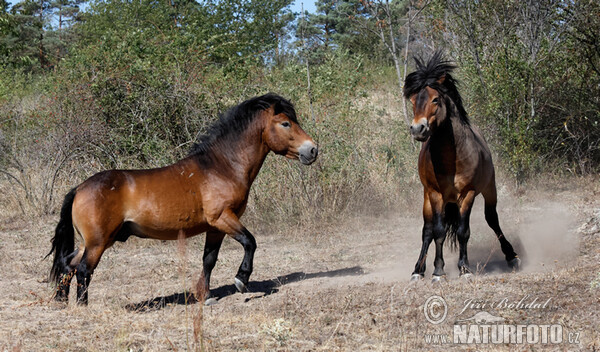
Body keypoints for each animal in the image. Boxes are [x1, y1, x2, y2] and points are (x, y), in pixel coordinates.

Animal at [47, 94, 318, 306]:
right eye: (285, 123)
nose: (313, 150)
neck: (221, 167)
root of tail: (80, 188)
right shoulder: (223, 218)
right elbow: (250, 242)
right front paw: (241, 280)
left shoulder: (215, 227)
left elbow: (209, 260)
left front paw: (206, 296)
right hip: (98, 242)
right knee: (84, 269)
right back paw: (83, 306)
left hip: (94, 241)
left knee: (68, 265)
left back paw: (61, 301)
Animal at [404, 51, 520, 284]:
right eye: (412, 100)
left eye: (435, 99)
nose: (418, 129)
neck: (451, 158)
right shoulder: (436, 194)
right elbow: (438, 232)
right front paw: (438, 271)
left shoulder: (468, 194)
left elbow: (463, 231)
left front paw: (464, 269)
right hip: (427, 197)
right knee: (427, 231)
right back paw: (418, 270)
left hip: (489, 189)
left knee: (492, 219)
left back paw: (511, 256)